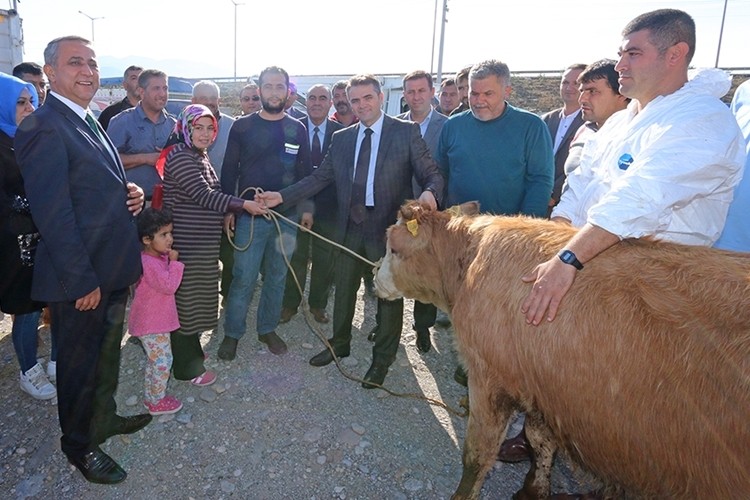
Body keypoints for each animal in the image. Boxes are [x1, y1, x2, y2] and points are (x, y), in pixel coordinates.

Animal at [378, 201, 750, 500]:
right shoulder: (544, 389)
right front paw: (534, 489)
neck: (467, 265)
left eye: (393, 248)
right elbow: (539, 439)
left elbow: (477, 456)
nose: (374, 274)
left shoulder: (490, 378)